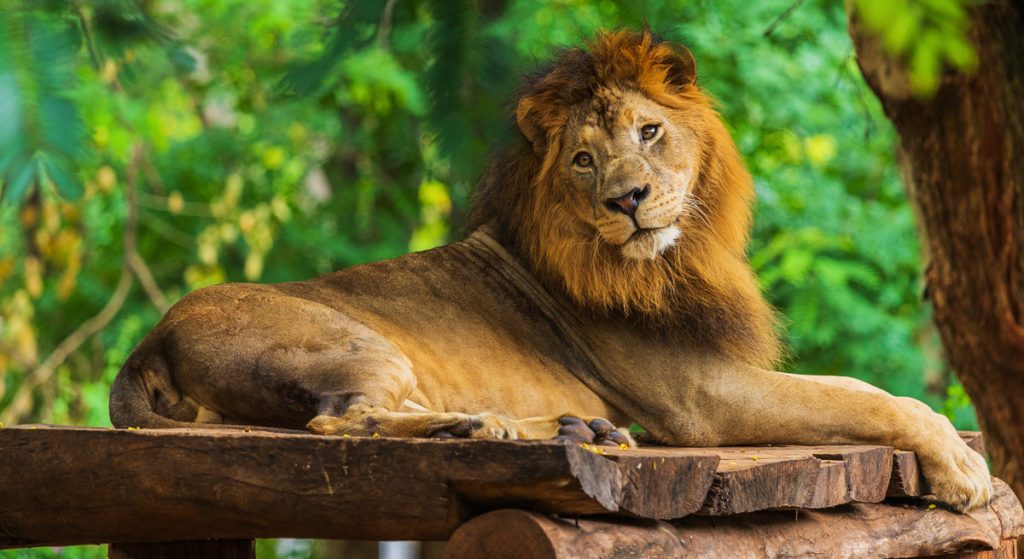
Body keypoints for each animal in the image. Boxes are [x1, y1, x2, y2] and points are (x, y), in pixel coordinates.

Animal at [110, 29, 991, 509]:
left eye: (649, 131)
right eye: (583, 159)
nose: (628, 199)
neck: (679, 257)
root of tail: (148, 339)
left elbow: (868, 391)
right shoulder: (701, 396)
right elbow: (870, 396)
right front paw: (964, 467)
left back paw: (551, 428)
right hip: (356, 341)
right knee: (340, 421)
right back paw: (496, 427)